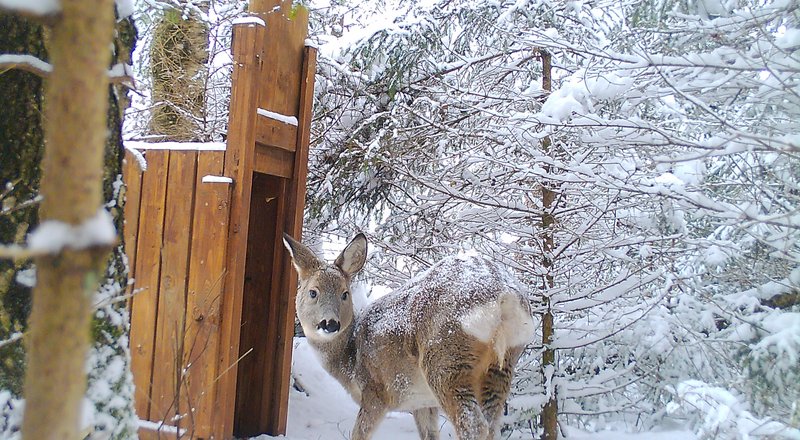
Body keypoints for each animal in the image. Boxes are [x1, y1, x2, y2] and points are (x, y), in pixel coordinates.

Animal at [283, 233, 536, 440]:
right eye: (313, 292)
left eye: (345, 294)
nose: (330, 324)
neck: (350, 358)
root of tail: (504, 295)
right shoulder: (421, 403)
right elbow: (430, 435)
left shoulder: (376, 391)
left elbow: (358, 434)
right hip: (502, 364)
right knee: (492, 425)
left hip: (447, 359)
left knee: (473, 425)